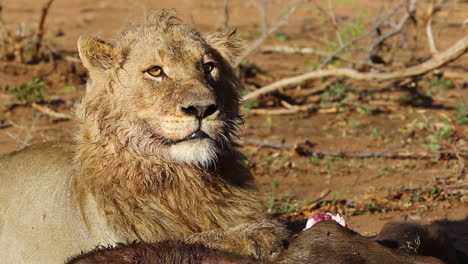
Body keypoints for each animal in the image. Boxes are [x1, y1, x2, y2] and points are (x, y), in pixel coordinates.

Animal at [0, 9, 288, 262]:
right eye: (155, 71)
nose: (202, 108)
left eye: (208, 67)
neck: (182, 179)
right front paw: (256, 234)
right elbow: (181, 241)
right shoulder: (112, 241)